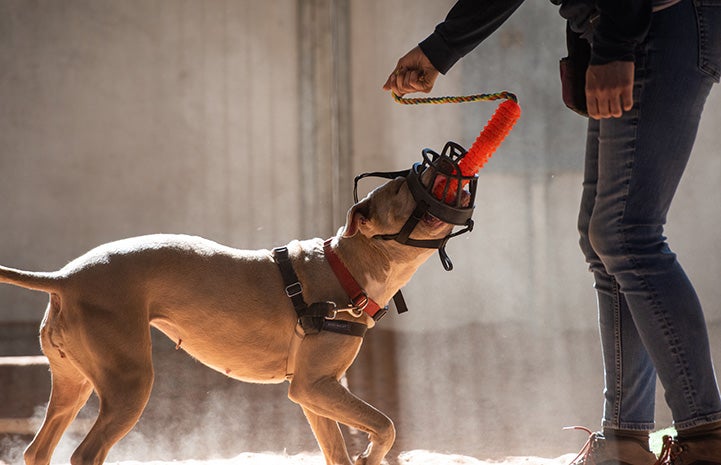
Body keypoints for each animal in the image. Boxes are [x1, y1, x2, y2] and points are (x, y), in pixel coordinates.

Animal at [1, 175, 462, 464]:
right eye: (401, 186)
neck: (345, 267)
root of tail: (66, 277)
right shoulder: (314, 387)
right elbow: (386, 425)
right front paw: (372, 454)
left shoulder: (316, 394)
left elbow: (338, 451)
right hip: (129, 384)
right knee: (85, 454)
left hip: (72, 385)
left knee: (37, 451)